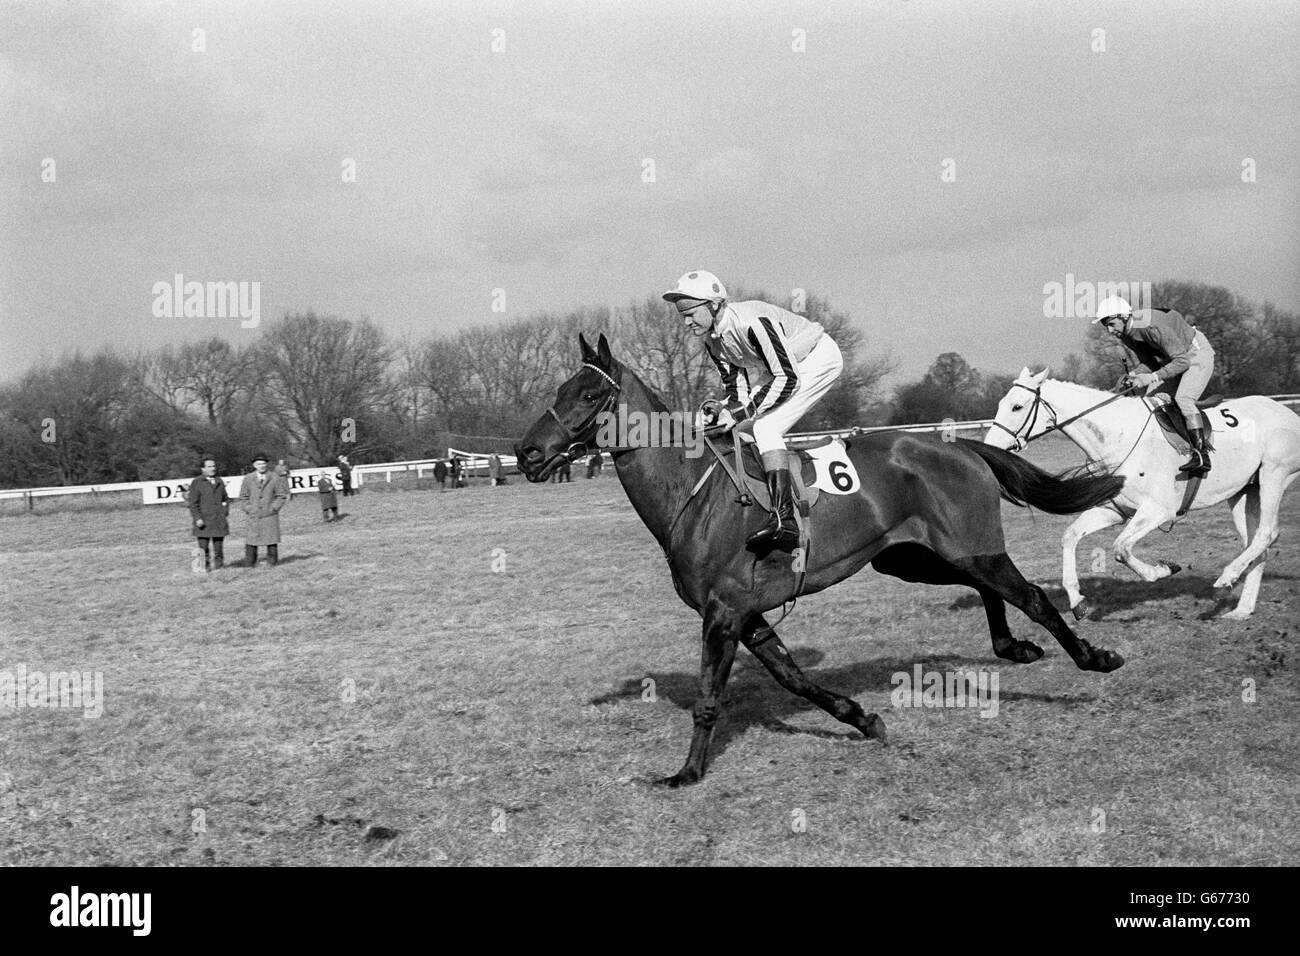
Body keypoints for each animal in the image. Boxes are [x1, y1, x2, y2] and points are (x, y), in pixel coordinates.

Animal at [517, 335, 1128, 785]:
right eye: (562, 388)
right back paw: (1013, 647)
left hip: (970, 548)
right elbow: (792, 676)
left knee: (1032, 596)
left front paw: (686, 772)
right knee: (989, 589)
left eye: (588, 397)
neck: (694, 493)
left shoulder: (723, 613)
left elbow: (709, 698)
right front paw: (863, 719)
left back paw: (1093, 657)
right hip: (913, 557)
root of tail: (960, 446)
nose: (526, 452)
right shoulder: (746, 615)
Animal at [982, 366, 1300, 621]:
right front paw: (1077, 601)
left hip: (1274, 475)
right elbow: (1070, 536)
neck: (1118, 437)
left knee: (1266, 534)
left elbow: (1121, 549)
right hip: (1244, 493)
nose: (990, 446)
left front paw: (1163, 570)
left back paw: (1226, 578)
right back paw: (1241, 609)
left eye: (1017, 407)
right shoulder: (1115, 510)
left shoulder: (1158, 510)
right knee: (1255, 543)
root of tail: (1287, 412)